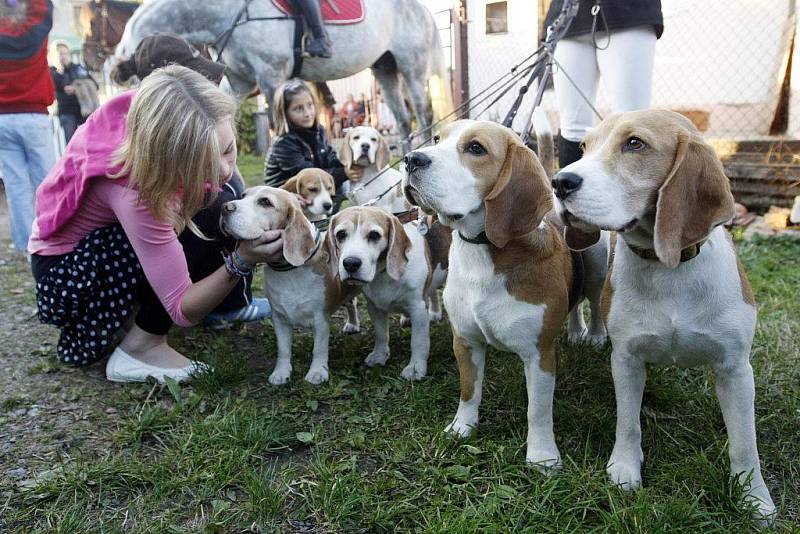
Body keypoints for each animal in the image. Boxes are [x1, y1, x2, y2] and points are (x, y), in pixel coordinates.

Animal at [119, 0, 456, 137]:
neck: (229, 11)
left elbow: (275, 127)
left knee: (424, 114)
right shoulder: (239, 81)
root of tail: (423, 9)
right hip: (384, 68)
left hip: (412, 66)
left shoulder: (271, 76)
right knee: (403, 119)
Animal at [217, 187, 358, 386]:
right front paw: (281, 372)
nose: (224, 207)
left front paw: (317, 372)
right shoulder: (279, 319)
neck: (287, 270)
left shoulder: (320, 320)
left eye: (265, 202)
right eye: (243, 196)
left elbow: (319, 350)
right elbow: (283, 350)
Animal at [328, 205, 434, 382]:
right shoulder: (374, 307)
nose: (350, 263)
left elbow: (418, 341)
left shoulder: (419, 308)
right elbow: (380, 333)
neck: (384, 273)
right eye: (341, 234)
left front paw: (415, 368)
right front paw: (379, 356)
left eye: (374, 235)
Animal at [404, 119, 592, 472]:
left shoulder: (539, 355)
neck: (483, 250)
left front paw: (542, 455)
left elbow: (538, 411)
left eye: (476, 148)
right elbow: (468, 391)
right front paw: (462, 427)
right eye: (436, 138)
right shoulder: (465, 341)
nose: (410, 160)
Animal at [552, 110, 776, 524]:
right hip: (593, 265)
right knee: (584, 301)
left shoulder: (736, 370)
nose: (559, 181)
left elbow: (744, 443)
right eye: (585, 147)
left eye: (634, 143)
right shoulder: (626, 360)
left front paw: (755, 498)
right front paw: (625, 469)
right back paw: (585, 333)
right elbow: (628, 423)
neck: (667, 267)